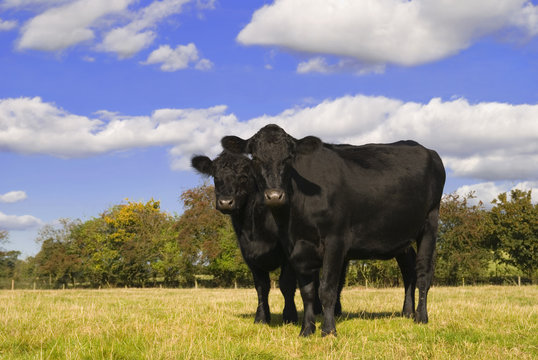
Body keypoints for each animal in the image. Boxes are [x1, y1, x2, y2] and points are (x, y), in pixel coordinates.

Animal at [222, 125, 444, 336]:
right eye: (255, 158)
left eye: (289, 158)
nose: (275, 196)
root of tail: (427, 150)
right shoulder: (295, 247)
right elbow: (307, 291)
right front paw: (307, 330)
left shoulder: (335, 240)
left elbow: (327, 288)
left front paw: (328, 331)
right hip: (402, 237)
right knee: (409, 270)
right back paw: (407, 312)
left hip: (430, 222)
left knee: (423, 272)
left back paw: (421, 317)